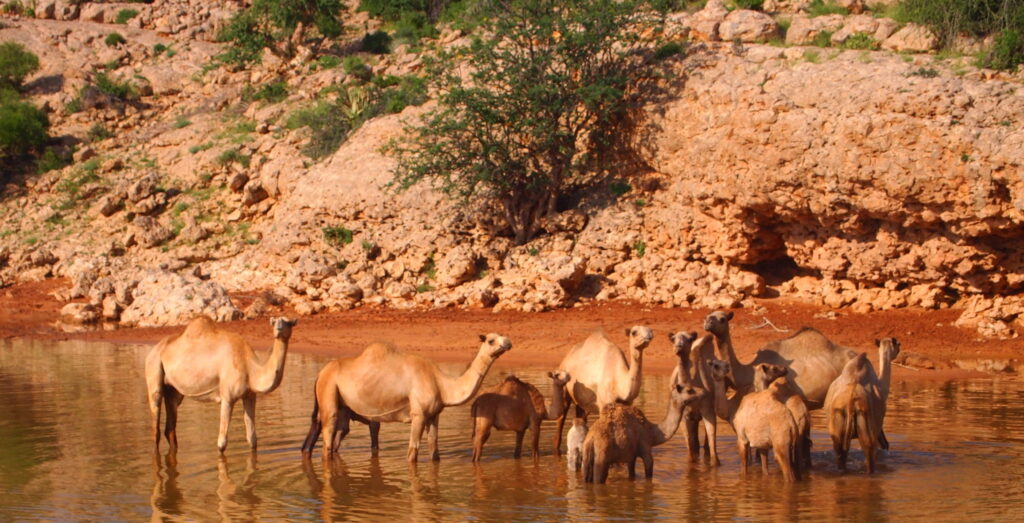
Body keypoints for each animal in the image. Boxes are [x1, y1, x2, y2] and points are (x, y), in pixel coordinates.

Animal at [145, 316, 297, 453]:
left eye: (289, 323)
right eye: (274, 322)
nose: (278, 329)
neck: (250, 367)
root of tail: (156, 349)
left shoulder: (249, 396)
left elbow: (252, 439)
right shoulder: (227, 397)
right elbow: (222, 443)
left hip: (173, 389)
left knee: (170, 427)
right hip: (154, 367)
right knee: (156, 423)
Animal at [299, 333, 512, 462]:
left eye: (503, 336)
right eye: (491, 340)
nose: (508, 342)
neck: (442, 384)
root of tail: (320, 374)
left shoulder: (433, 415)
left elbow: (434, 449)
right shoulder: (418, 414)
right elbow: (412, 452)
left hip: (341, 404)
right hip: (329, 390)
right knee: (328, 435)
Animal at [825, 338, 900, 473]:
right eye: (897, 344)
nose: (899, 348)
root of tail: (850, 403)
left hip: (837, 427)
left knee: (840, 453)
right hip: (866, 426)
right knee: (869, 455)